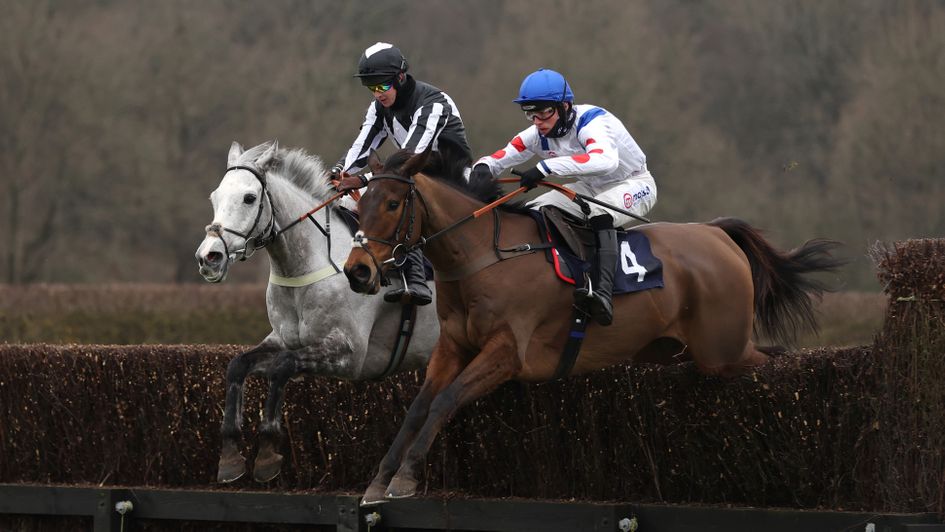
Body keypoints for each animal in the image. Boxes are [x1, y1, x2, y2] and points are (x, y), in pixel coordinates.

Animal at [195, 143, 442, 484]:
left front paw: (268, 452)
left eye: (249, 197)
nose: (209, 258)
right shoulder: (285, 340)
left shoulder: (351, 354)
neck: (310, 264)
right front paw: (230, 455)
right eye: (214, 197)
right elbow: (238, 365)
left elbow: (283, 367)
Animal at [342, 149, 844, 502]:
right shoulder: (452, 347)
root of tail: (717, 233)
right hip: (678, 350)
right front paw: (379, 479)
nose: (358, 271)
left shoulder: (507, 353)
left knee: (775, 361)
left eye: (392, 203)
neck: (484, 255)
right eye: (360, 204)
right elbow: (418, 406)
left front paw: (406, 477)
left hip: (725, 351)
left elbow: (446, 400)